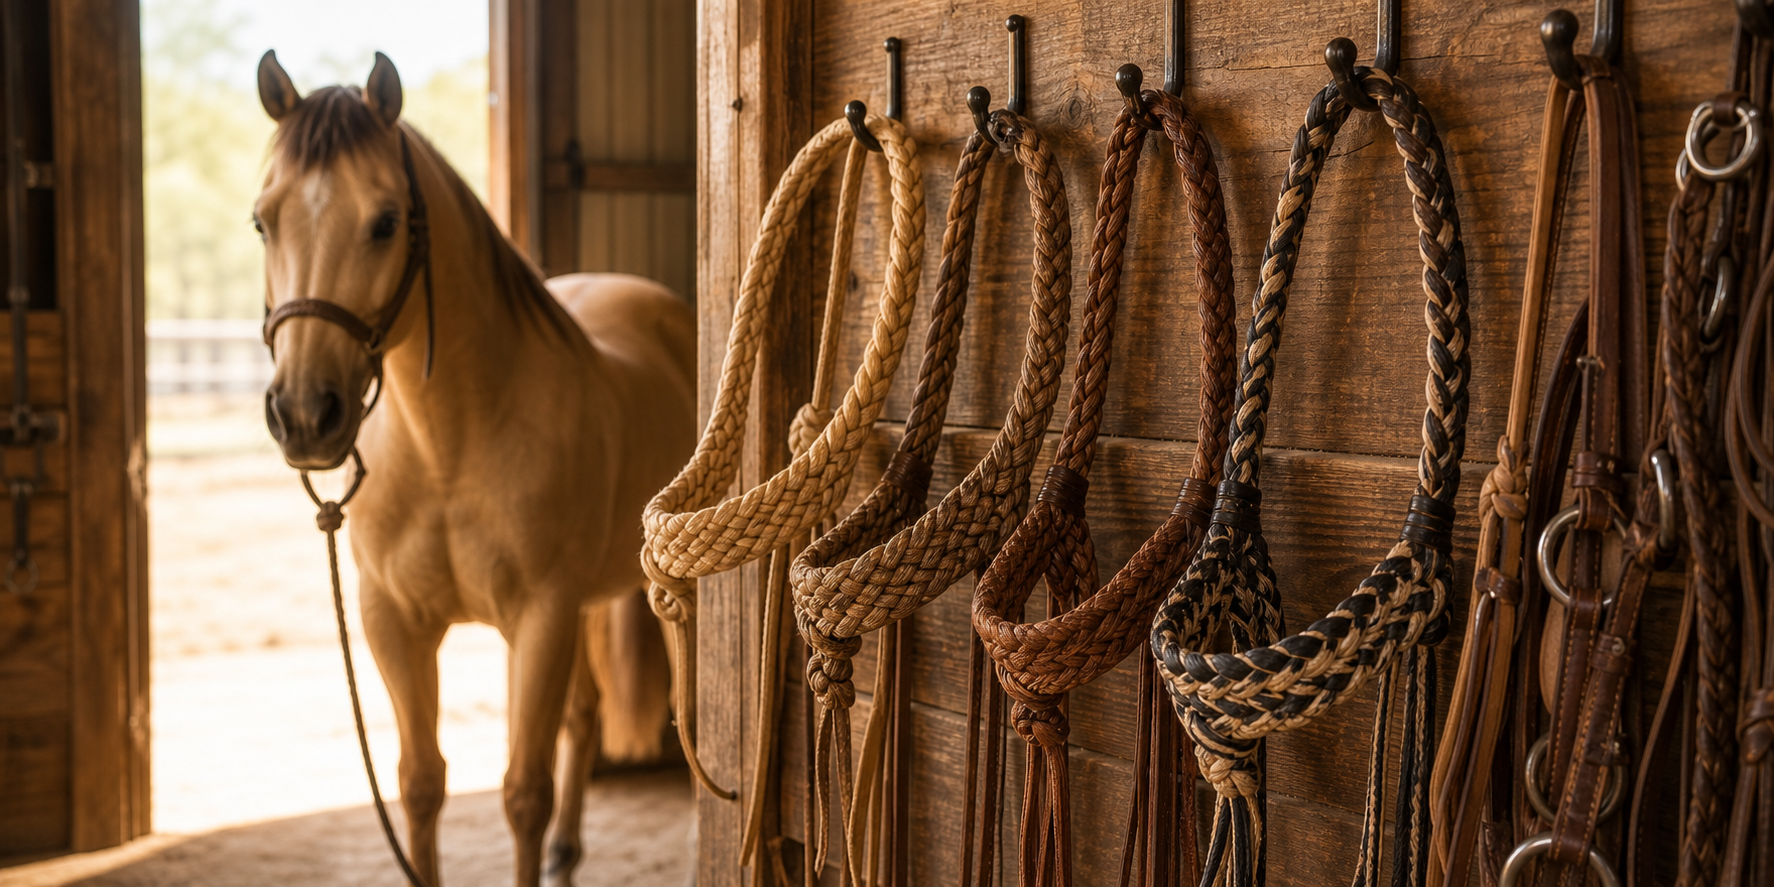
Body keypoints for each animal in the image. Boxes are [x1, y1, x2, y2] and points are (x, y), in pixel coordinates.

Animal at [252, 50, 693, 887]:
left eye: (386, 220)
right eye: (264, 220)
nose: (305, 415)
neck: (449, 450)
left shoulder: (540, 618)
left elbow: (522, 790)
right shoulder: (394, 621)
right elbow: (421, 783)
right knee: (583, 714)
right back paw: (564, 854)